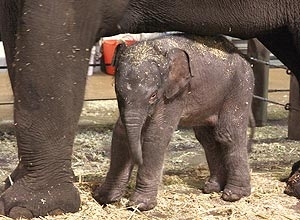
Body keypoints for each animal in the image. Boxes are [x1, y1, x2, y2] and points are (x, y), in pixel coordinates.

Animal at [94, 34, 253, 211]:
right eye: (117, 93)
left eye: (153, 96)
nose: (137, 161)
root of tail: (243, 56)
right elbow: (120, 133)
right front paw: (104, 198)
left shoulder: (176, 94)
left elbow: (156, 135)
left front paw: (140, 205)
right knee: (207, 138)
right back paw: (212, 188)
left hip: (240, 87)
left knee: (227, 133)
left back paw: (233, 195)